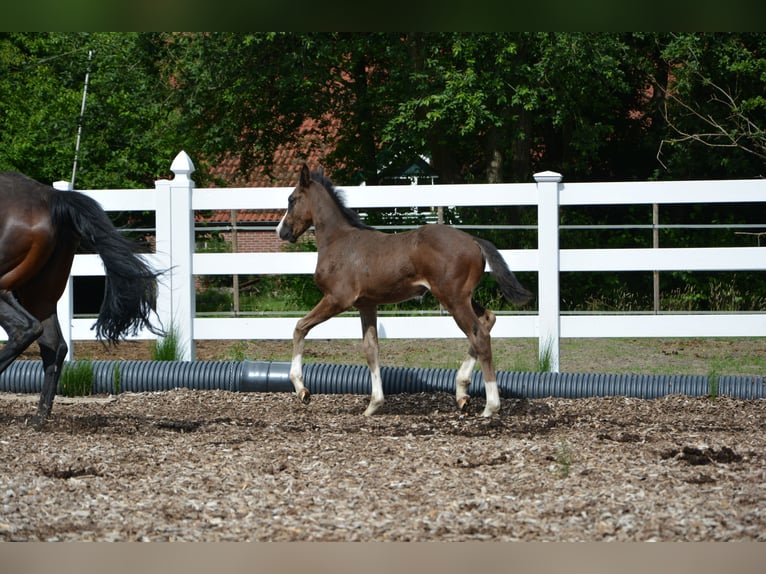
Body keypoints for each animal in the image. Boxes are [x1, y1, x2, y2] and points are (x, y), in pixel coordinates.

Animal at [277, 164, 533, 417]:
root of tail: (474, 240)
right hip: (460, 297)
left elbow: (300, 327)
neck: (339, 241)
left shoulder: (337, 299)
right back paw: (462, 393)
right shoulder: (366, 304)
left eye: (291, 199)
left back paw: (490, 406)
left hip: (453, 298)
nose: (282, 231)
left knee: (479, 335)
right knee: (488, 319)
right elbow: (371, 348)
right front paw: (374, 404)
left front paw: (302, 390)